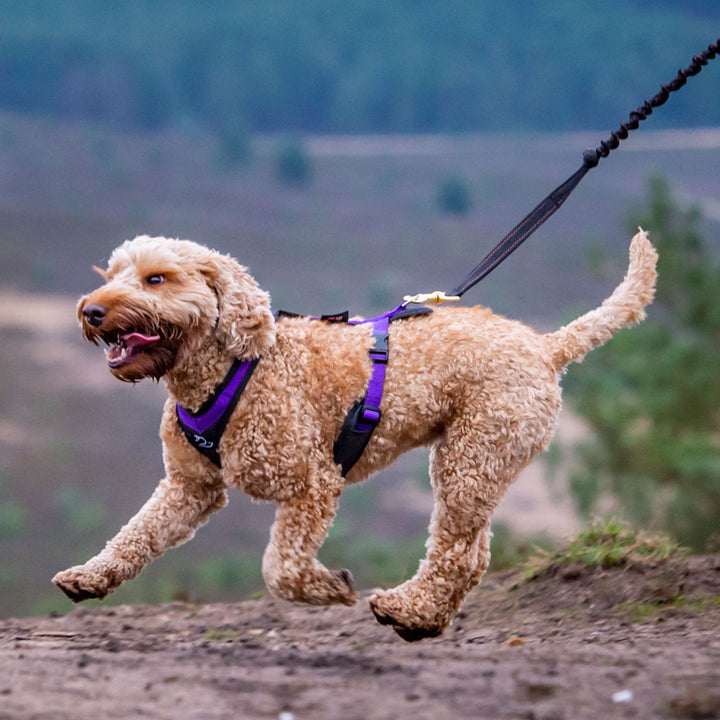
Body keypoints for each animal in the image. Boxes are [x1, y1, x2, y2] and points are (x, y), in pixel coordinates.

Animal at [52, 231, 660, 640]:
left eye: (157, 278)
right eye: (111, 273)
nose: (92, 310)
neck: (232, 369)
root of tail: (545, 347)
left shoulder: (311, 484)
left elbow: (281, 568)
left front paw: (330, 587)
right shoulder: (189, 486)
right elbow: (137, 535)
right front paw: (91, 576)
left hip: (474, 456)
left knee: (456, 553)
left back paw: (407, 610)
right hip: (477, 462)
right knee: (473, 553)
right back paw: (425, 618)